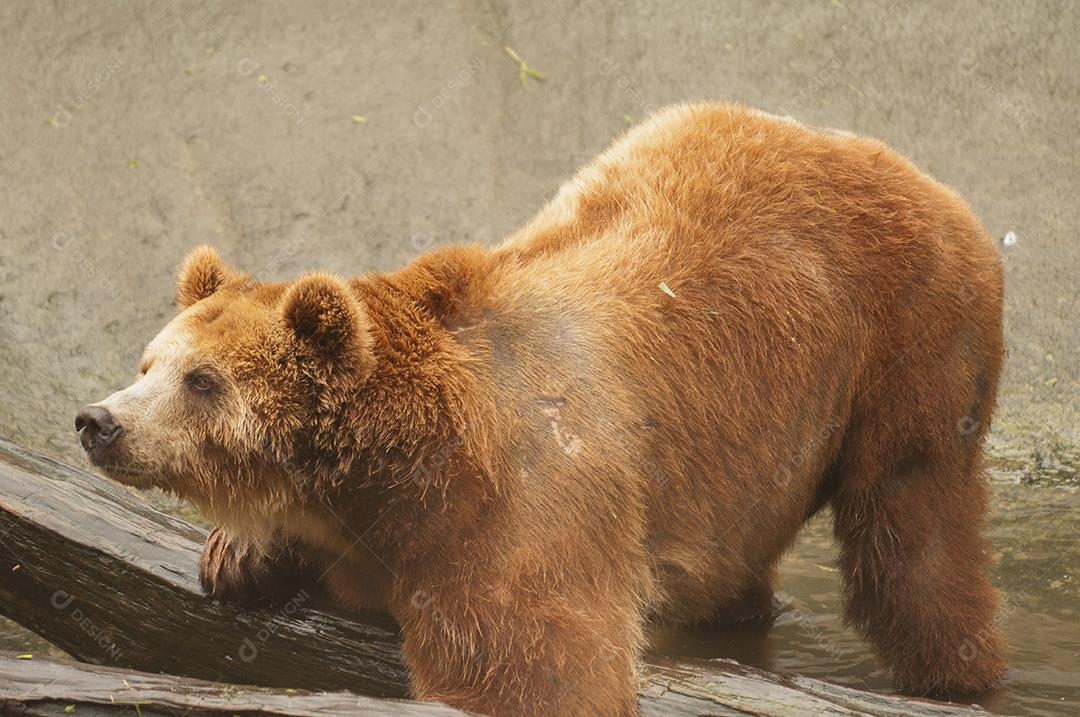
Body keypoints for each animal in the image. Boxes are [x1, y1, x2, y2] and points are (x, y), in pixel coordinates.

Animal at [76, 103, 1006, 716]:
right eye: (149, 360)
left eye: (202, 379)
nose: (99, 420)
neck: (398, 466)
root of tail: (908, 166)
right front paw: (240, 551)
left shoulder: (521, 504)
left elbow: (538, 670)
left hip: (910, 339)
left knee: (915, 531)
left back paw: (956, 673)